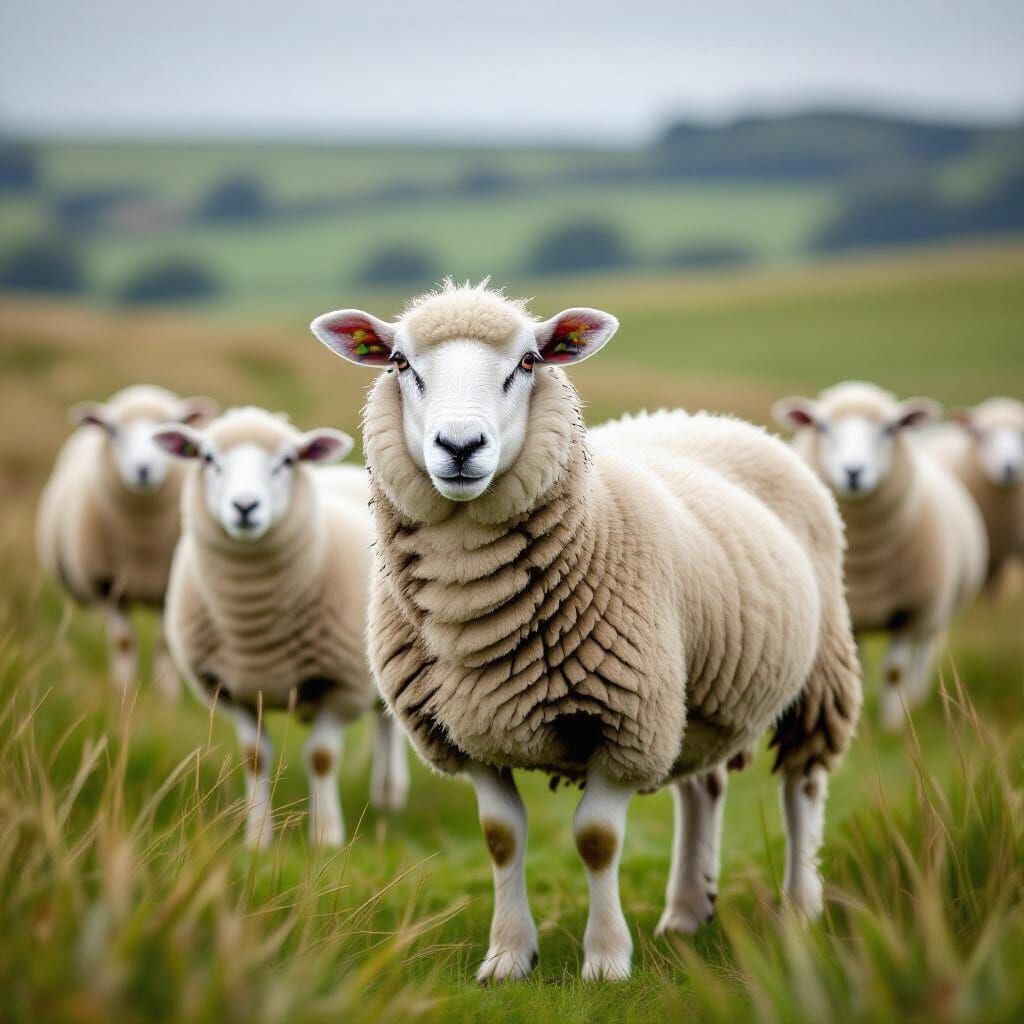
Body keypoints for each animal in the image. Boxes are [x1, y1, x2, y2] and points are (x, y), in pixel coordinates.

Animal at [36, 385, 217, 698]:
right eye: (114, 431)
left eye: (168, 428)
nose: (143, 470)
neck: (143, 540)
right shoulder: (107, 584)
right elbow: (123, 641)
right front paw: (123, 691)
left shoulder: (166, 585)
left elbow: (164, 642)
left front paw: (166, 695)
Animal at [153, 407, 409, 848]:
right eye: (208, 458)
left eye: (287, 461)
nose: (244, 506)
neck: (253, 620)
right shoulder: (229, 690)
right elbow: (255, 757)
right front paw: (257, 838)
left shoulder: (342, 684)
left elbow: (321, 757)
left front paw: (325, 836)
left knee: (388, 718)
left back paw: (390, 792)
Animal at [310, 280, 861, 983]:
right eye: (400, 364)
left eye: (527, 362)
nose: (459, 446)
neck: (469, 598)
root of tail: (706, 417)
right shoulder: (465, 730)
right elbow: (501, 838)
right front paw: (508, 957)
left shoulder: (625, 721)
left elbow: (597, 840)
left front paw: (606, 962)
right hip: (695, 695)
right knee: (703, 788)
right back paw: (687, 911)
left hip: (820, 671)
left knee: (804, 788)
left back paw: (799, 908)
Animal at [773, 381, 988, 731]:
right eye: (823, 426)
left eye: (889, 428)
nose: (853, 472)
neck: (864, 561)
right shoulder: (851, 615)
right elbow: (855, 670)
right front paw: (858, 723)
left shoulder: (908, 611)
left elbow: (894, 671)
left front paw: (892, 724)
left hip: (935, 610)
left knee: (922, 651)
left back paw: (917, 696)